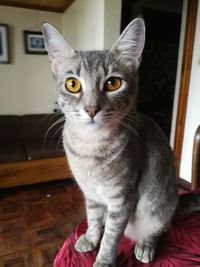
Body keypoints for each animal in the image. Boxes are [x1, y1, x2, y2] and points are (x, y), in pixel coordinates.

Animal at [42, 17, 200, 266]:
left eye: (113, 83)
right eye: (73, 84)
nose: (91, 109)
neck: (90, 149)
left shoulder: (123, 199)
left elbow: (111, 236)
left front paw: (103, 260)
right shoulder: (91, 195)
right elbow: (94, 219)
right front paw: (91, 237)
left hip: (158, 208)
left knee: (160, 227)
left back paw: (145, 245)